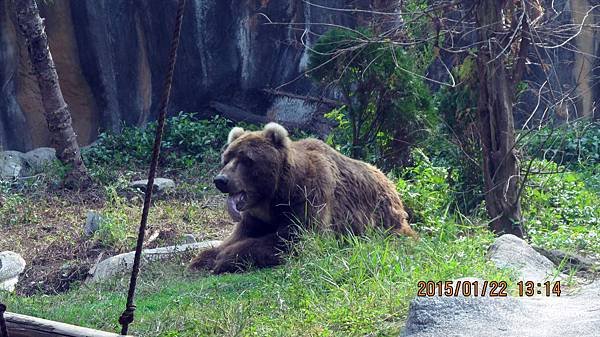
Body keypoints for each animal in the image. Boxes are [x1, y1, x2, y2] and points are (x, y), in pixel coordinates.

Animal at [190, 122, 414, 272]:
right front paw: (205, 257)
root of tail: (391, 183)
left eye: (246, 159)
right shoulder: (256, 216)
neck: (275, 193)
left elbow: (297, 237)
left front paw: (224, 258)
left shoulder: (310, 194)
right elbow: (238, 234)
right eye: (227, 157)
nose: (221, 180)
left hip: (383, 219)